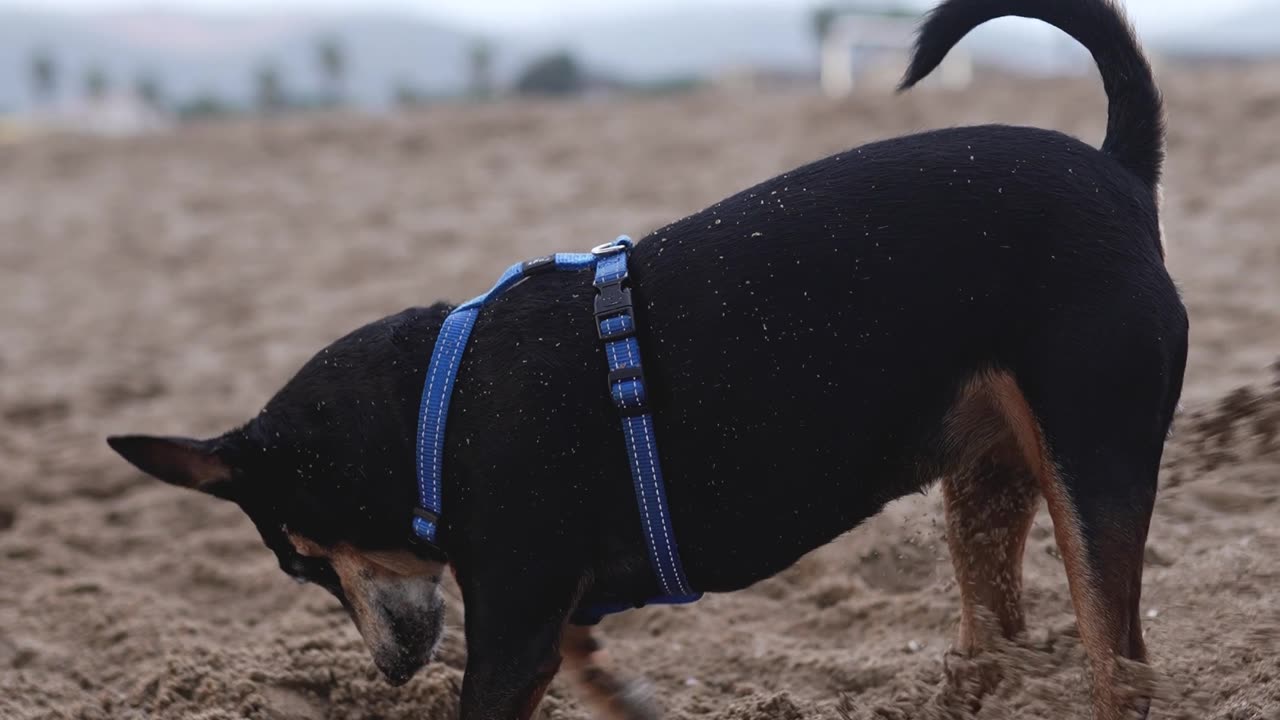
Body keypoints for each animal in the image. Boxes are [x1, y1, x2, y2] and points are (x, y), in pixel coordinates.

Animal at [110, 1, 1187, 717]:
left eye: (298, 561)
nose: (387, 670)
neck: (433, 411)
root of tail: (1117, 170)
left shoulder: (509, 634)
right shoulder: (547, 616)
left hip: (1091, 464)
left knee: (1119, 658)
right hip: (986, 480)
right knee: (996, 630)